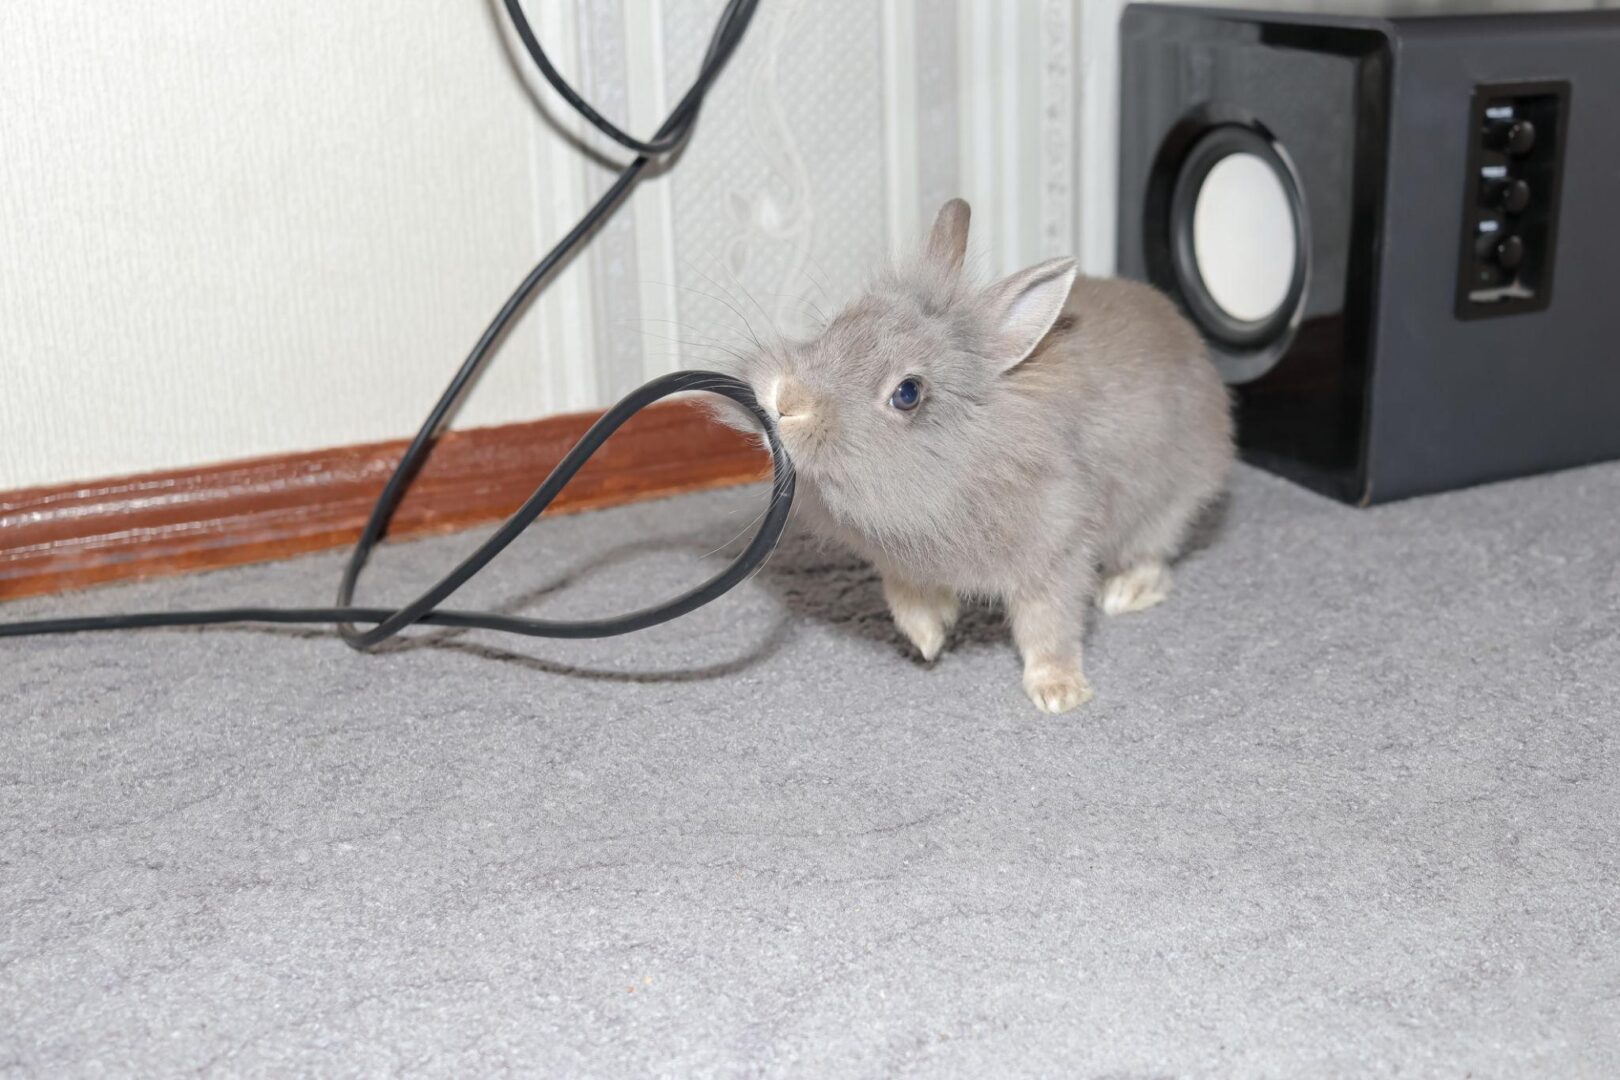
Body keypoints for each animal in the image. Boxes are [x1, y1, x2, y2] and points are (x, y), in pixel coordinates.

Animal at [720, 198, 1233, 713]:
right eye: (836, 325)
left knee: (1155, 556)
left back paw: (1123, 594)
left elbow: (1050, 625)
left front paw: (1059, 693)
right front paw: (928, 638)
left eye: (908, 393)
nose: (786, 401)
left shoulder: (1057, 551)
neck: (972, 449)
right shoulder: (901, 564)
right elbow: (905, 597)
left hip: (1166, 505)